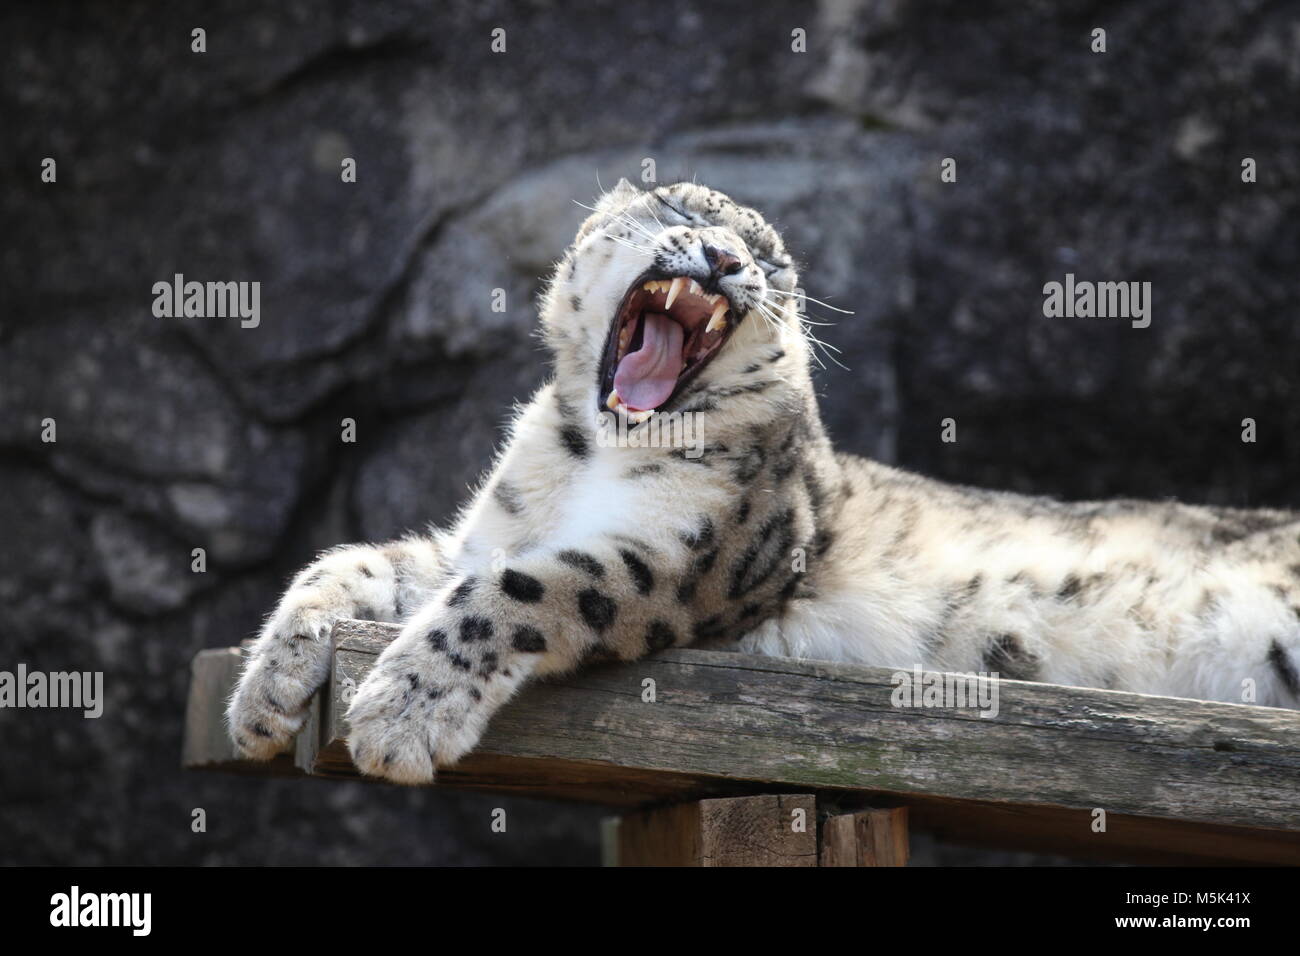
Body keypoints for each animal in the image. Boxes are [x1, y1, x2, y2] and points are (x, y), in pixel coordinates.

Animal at [226, 179, 1300, 785]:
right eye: (679, 211)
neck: (587, 456)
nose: (723, 257)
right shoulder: (483, 537)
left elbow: (520, 592)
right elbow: (361, 564)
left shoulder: (681, 556)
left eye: (772, 263)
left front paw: (400, 716)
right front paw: (266, 693)